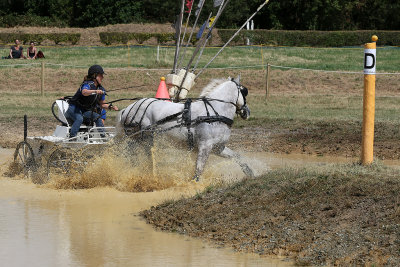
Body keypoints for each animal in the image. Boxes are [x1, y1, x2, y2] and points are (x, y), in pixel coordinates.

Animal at [115, 77, 253, 182]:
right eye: (244, 91)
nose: (247, 112)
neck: (214, 112)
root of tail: (127, 109)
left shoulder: (218, 148)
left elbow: (236, 157)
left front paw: (250, 172)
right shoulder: (205, 146)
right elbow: (199, 169)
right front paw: (194, 184)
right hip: (141, 139)